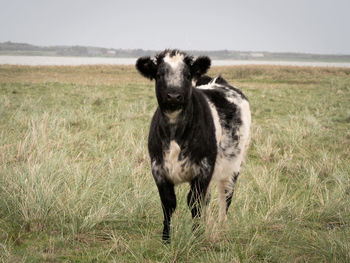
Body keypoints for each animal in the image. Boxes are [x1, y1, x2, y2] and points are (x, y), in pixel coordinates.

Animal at [135, 50, 250, 243]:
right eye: (159, 74)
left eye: (187, 75)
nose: (174, 96)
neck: (175, 132)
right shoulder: (158, 169)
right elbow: (168, 204)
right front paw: (166, 240)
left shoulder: (203, 169)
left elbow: (194, 203)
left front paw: (195, 237)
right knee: (209, 199)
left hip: (234, 165)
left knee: (225, 197)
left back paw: (222, 229)